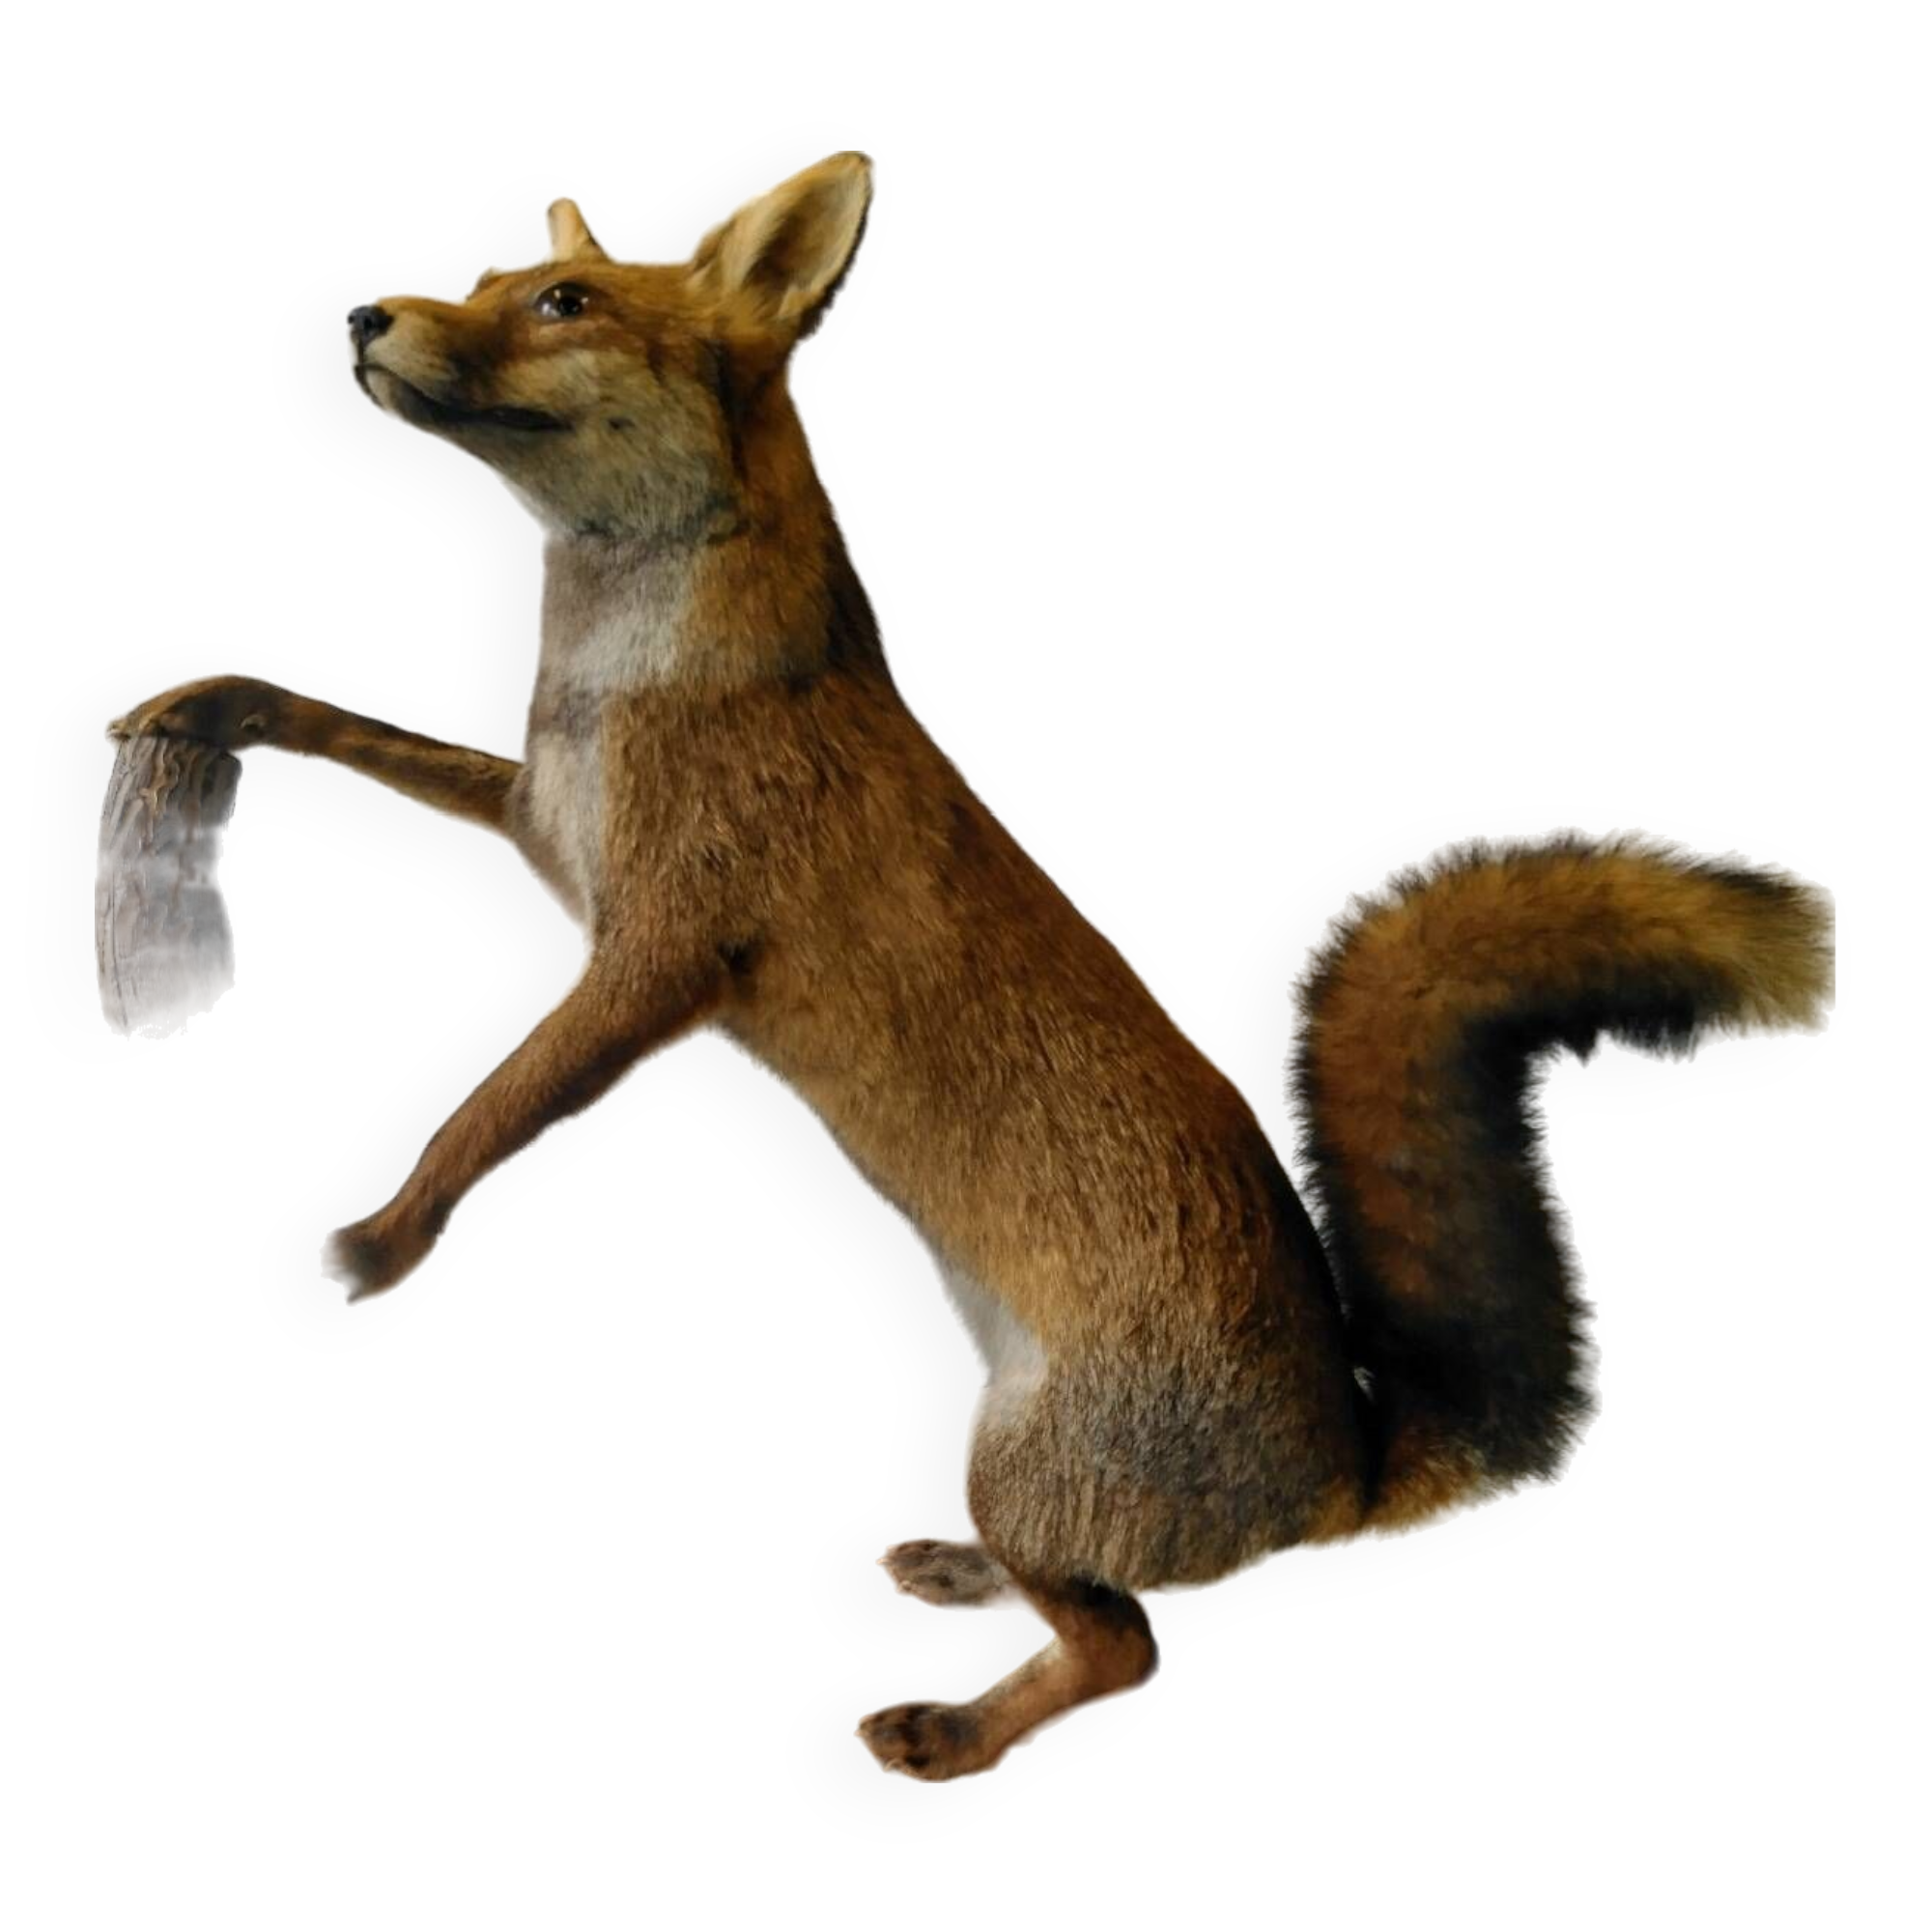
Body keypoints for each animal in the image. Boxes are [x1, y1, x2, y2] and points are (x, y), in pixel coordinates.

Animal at [102, 153, 1836, 1782]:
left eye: (563, 305)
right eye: (480, 275)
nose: (361, 314)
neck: (637, 680)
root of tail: (1344, 1465)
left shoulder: (653, 966)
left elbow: (479, 1115)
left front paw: (376, 1247)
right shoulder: (543, 831)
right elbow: (331, 721)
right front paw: (197, 707)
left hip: (1003, 1447)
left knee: (1127, 1649)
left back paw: (956, 1730)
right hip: (1006, 1459)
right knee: (1093, 1591)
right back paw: (964, 1580)